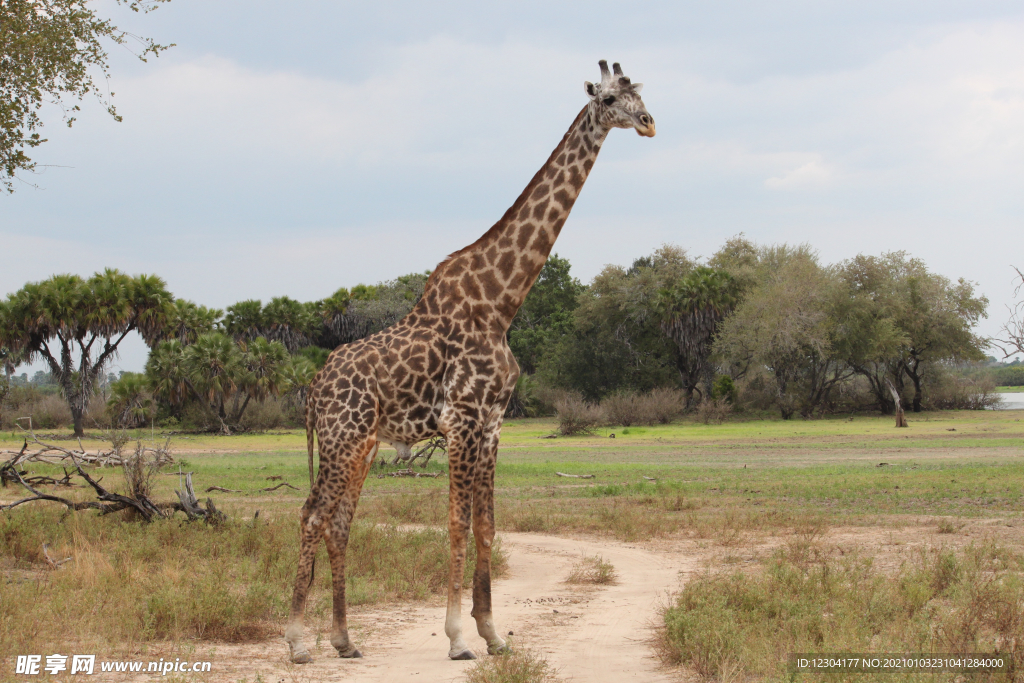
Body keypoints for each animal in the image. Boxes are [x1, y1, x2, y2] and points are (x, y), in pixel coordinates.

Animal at [288, 61, 655, 663]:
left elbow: (486, 525)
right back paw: (297, 641)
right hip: (342, 438)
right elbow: (457, 524)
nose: (648, 123)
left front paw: (493, 633)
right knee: (313, 514)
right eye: (607, 98)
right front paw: (458, 638)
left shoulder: (492, 423)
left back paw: (344, 640)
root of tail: (315, 388)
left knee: (338, 521)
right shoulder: (460, 420)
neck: (502, 302)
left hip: (362, 445)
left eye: (640, 93)